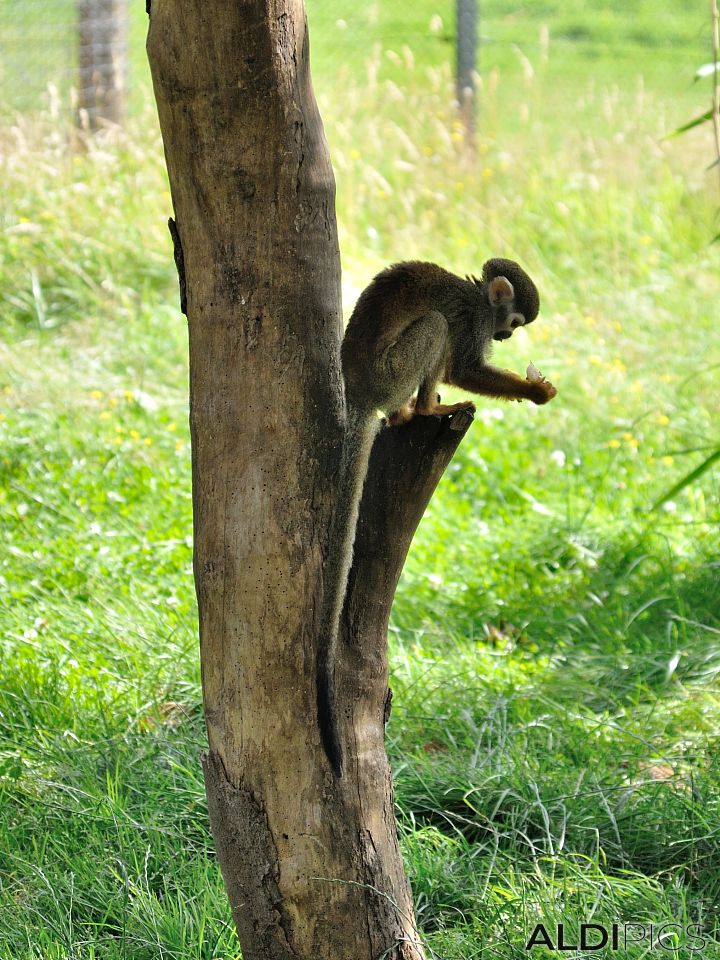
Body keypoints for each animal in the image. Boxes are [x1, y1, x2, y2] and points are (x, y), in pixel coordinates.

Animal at [318, 255, 560, 772]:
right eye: (512, 323)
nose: (505, 338)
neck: (479, 297)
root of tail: (360, 393)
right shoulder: (473, 321)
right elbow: (463, 366)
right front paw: (534, 391)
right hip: (392, 374)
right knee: (435, 328)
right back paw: (421, 409)